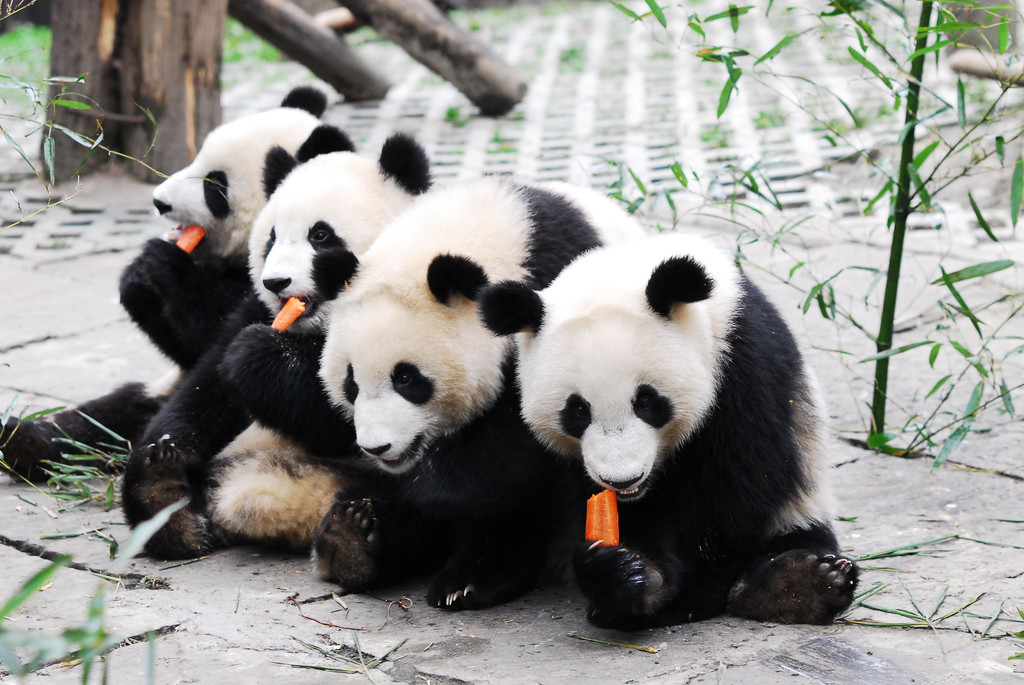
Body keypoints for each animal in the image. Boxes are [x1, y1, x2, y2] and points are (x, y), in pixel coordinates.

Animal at [3, 87, 327, 481]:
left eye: (215, 185)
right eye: (194, 159)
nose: (160, 202)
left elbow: (216, 331)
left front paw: (163, 262)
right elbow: (189, 348)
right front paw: (136, 279)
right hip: (156, 388)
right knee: (109, 412)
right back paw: (28, 440)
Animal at [122, 127, 436, 565]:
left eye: (320, 235)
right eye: (270, 239)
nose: (276, 283)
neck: (313, 328)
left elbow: (355, 410)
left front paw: (256, 356)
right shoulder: (251, 308)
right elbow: (206, 388)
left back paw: (355, 538)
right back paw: (164, 501)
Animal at [317, 178, 647, 610]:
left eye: (406, 378)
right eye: (351, 383)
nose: (377, 448)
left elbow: (509, 457)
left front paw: (437, 489)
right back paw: (353, 538)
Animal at [477, 232, 856, 626]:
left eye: (646, 401)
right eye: (578, 410)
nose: (623, 479)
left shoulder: (742, 365)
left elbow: (739, 483)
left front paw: (684, 595)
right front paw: (624, 578)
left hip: (803, 491)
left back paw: (800, 584)